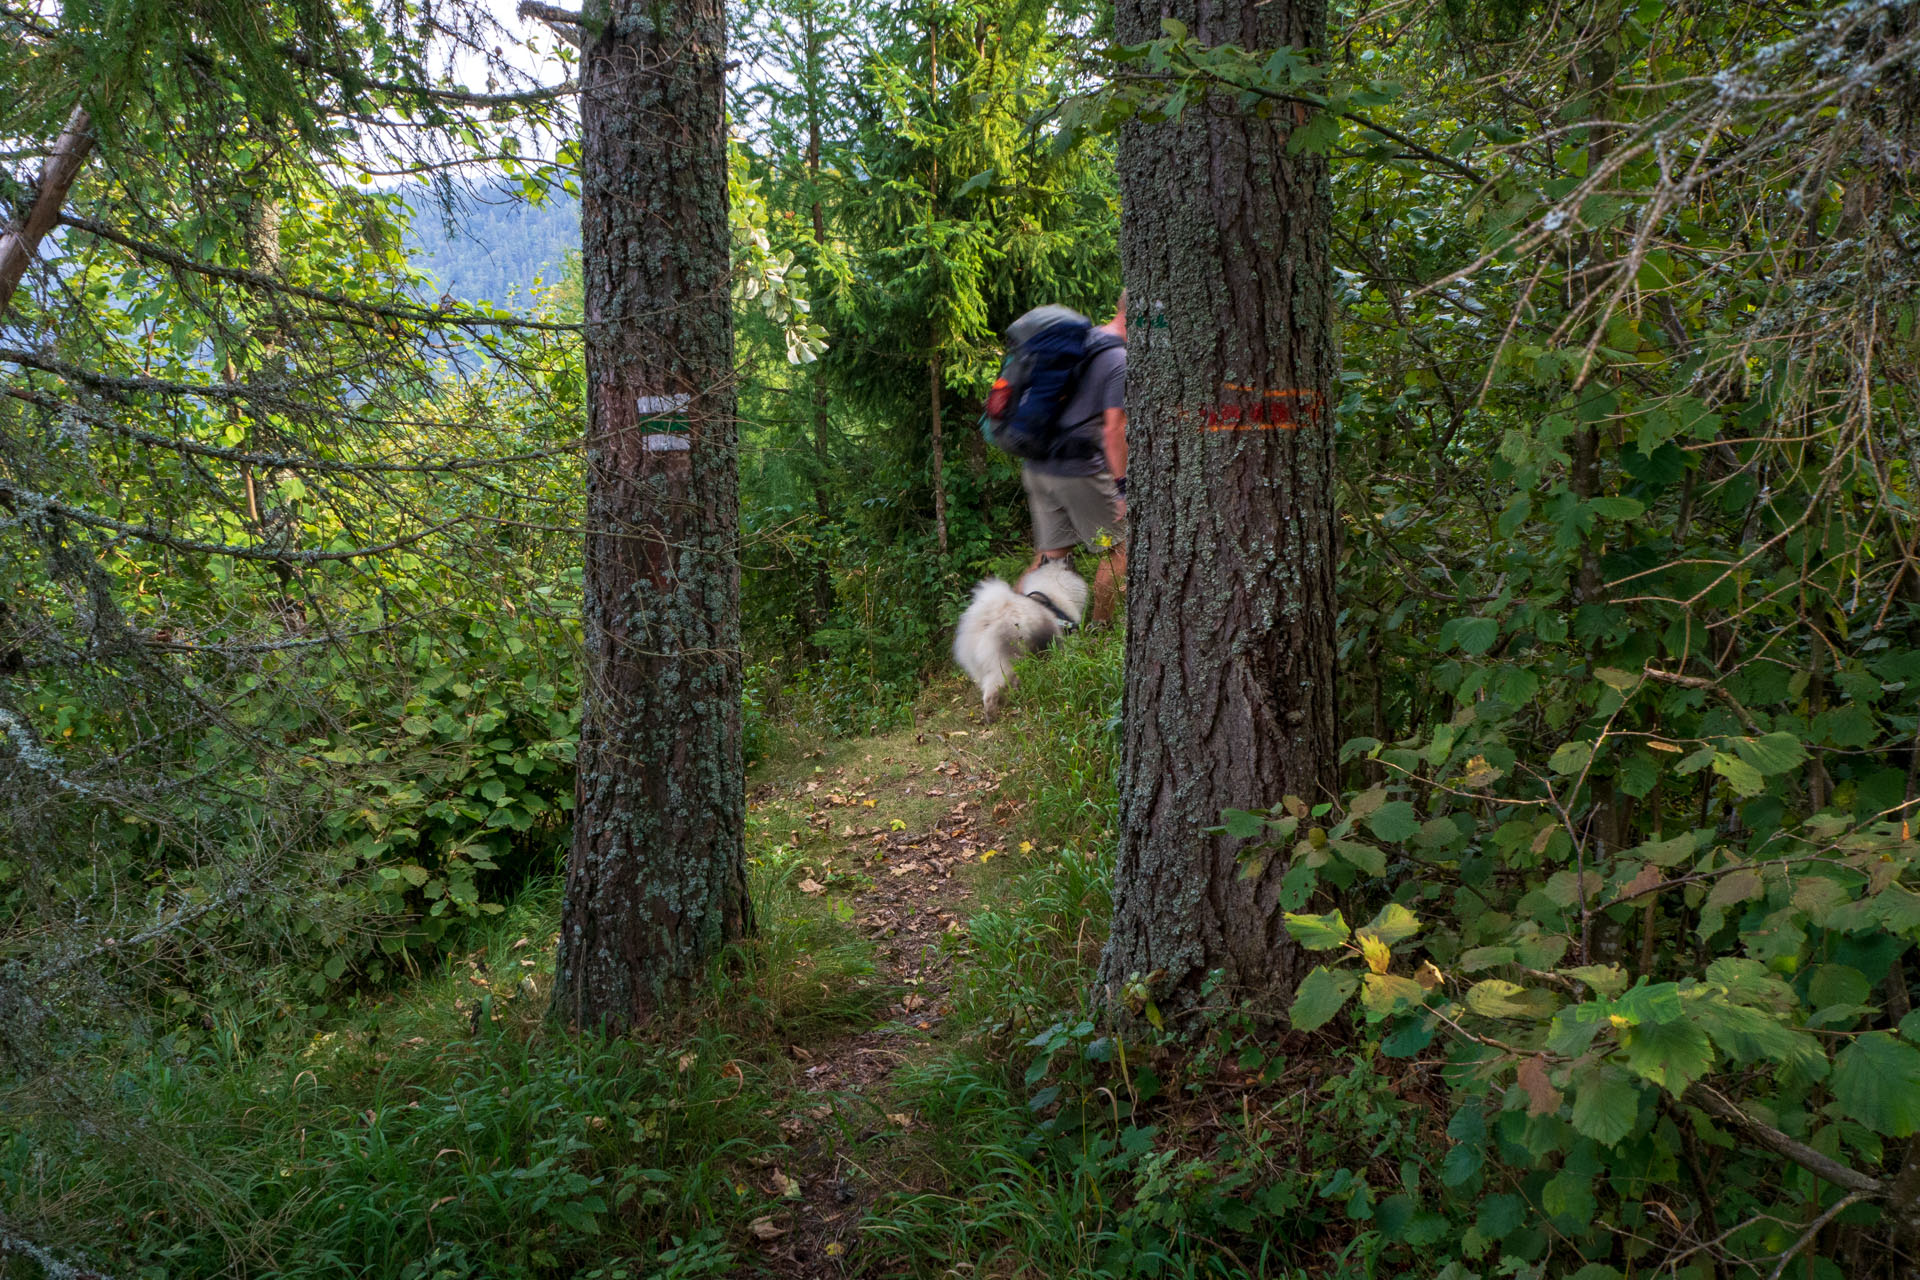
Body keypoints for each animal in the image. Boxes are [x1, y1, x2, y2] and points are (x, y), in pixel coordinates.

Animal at [952, 560, 1090, 721]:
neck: (1052, 598)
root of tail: (986, 620)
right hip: (1005, 666)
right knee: (989, 695)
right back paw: (993, 718)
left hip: (984, 670)